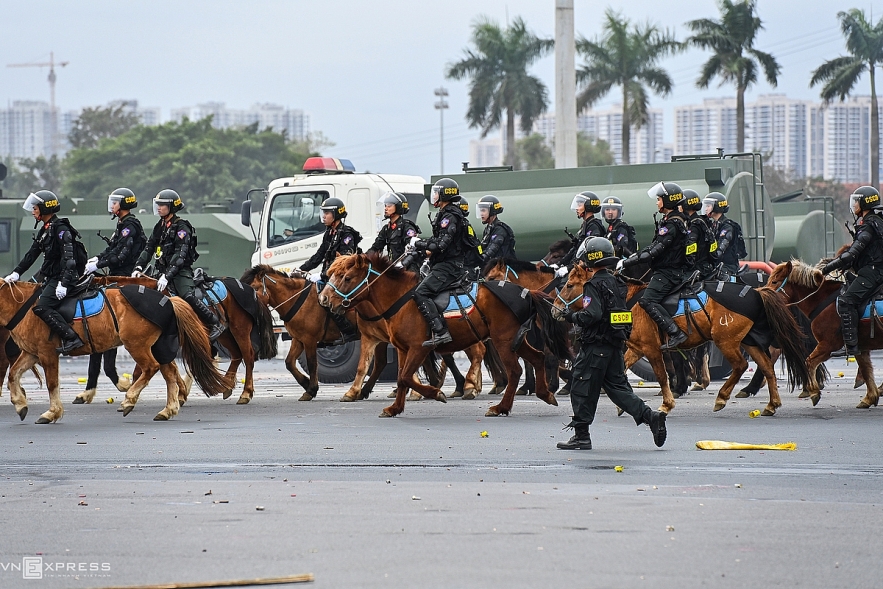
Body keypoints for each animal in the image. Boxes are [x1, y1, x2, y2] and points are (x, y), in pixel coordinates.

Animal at [0, 282, 231, 422]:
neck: (24, 309)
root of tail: (168, 301)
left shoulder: (47, 353)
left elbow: (52, 383)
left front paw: (52, 412)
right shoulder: (31, 353)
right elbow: (13, 375)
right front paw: (20, 405)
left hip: (137, 345)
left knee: (151, 368)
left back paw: (130, 399)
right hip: (159, 346)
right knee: (169, 374)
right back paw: (167, 409)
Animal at [88, 274, 276, 404]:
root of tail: (248, 288)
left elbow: (146, 370)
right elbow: (168, 368)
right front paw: (180, 394)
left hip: (240, 330)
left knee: (248, 356)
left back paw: (246, 393)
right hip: (226, 334)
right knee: (237, 355)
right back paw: (227, 385)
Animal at [318, 253, 572, 418]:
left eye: (347, 277)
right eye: (331, 274)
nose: (324, 299)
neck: (400, 299)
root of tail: (527, 291)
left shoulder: (419, 348)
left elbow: (406, 377)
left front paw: (436, 392)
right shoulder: (402, 349)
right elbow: (401, 378)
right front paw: (395, 408)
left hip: (503, 340)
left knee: (515, 370)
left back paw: (500, 406)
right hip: (514, 341)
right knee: (538, 357)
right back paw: (545, 393)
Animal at [556, 264, 812, 416]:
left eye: (569, 285)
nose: (556, 309)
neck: (626, 299)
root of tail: (757, 292)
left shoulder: (651, 349)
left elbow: (661, 375)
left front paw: (667, 403)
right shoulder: (636, 349)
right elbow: (622, 374)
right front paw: (621, 405)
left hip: (726, 341)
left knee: (741, 365)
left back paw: (722, 398)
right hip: (748, 341)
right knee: (767, 367)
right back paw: (771, 403)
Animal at [768, 260, 883, 408]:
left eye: (775, 282)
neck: (822, 299)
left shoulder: (827, 345)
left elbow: (809, 362)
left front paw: (814, 391)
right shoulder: (860, 347)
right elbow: (866, 369)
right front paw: (870, 397)